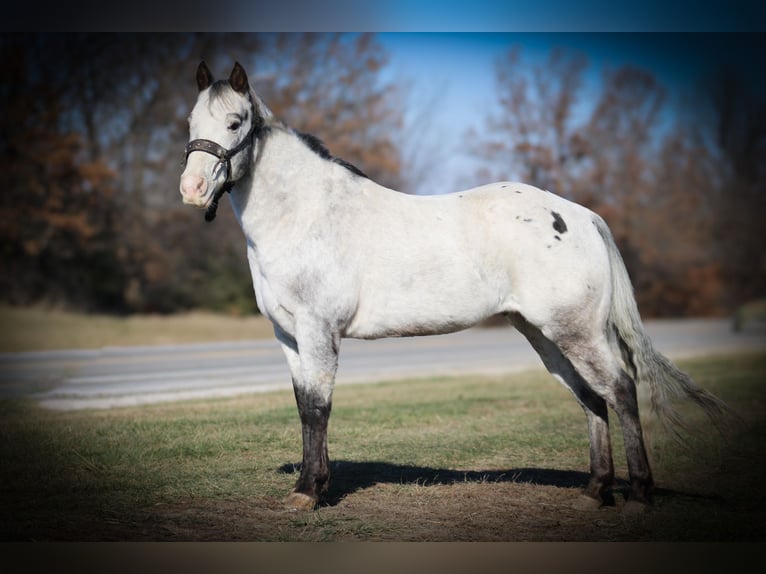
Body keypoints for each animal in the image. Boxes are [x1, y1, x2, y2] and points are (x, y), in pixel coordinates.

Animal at [179, 61, 729, 512]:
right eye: (189, 124)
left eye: (235, 123)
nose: (192, 190)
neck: (309, 213)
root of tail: (579, 215)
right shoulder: (288, 336)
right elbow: (303, 408)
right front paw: (309, 487)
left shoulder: (318, 332)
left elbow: (318, 410)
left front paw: (309, 494)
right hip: (545, 335)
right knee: (590, 398)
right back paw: (596, 491)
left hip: (577, 332)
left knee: (620, 390)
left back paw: (639, 495)